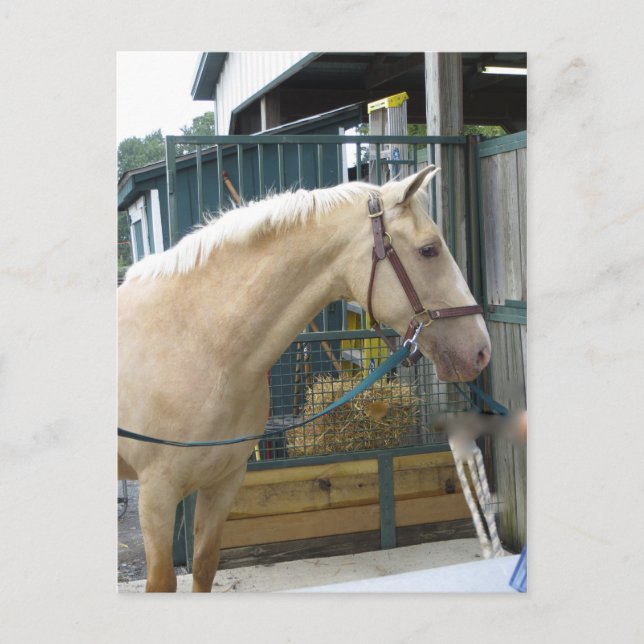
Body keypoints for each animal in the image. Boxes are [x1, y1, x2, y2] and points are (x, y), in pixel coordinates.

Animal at [118, 166, 491, 592]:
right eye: (429, 249)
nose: (481, 350)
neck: (199, 343)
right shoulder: (157, 495)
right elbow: (162, 582)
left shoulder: (224, 482)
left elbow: (204, 566)